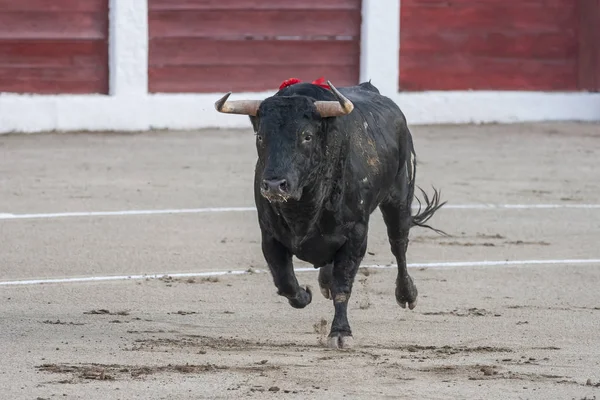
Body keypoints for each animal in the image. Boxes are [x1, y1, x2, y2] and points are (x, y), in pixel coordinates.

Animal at [216, 80, 446, 346]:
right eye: (261, 136)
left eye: (307, 136)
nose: (274, 185)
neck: (303, 207)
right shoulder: (269, 235)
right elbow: (285, 282)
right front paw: (305, 294)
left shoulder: (356, 234)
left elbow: (343, 284)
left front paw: (340, 332)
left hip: (398, 197)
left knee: (399, 244)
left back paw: (407, 294)